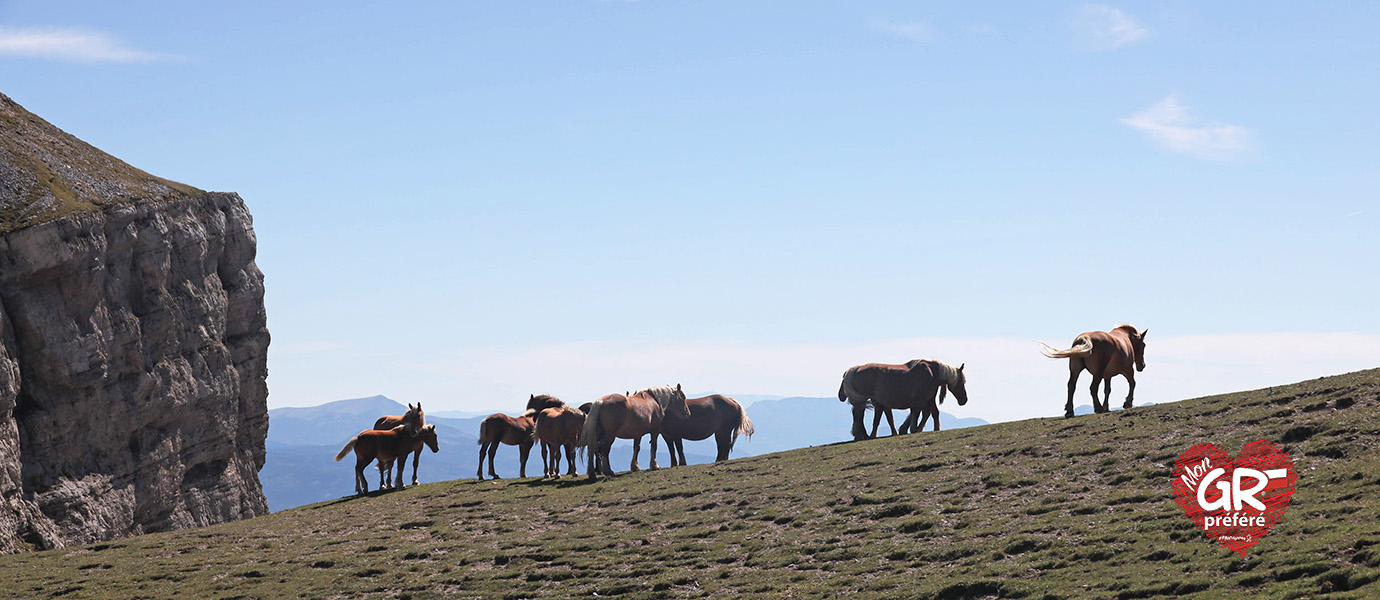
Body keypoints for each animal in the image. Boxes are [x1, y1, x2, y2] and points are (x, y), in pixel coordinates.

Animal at [828, 358, 971, 444]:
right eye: (962, 382)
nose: (964, 400)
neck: (932, 373)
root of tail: (856, 368)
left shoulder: (929, 399)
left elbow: (932, 413)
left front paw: (935, 429)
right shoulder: (920, 400)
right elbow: (918, 414)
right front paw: (914, 429)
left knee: (858, 415)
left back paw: (862, 435)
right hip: (862, 400)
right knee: (858, 415)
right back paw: (862, 435)